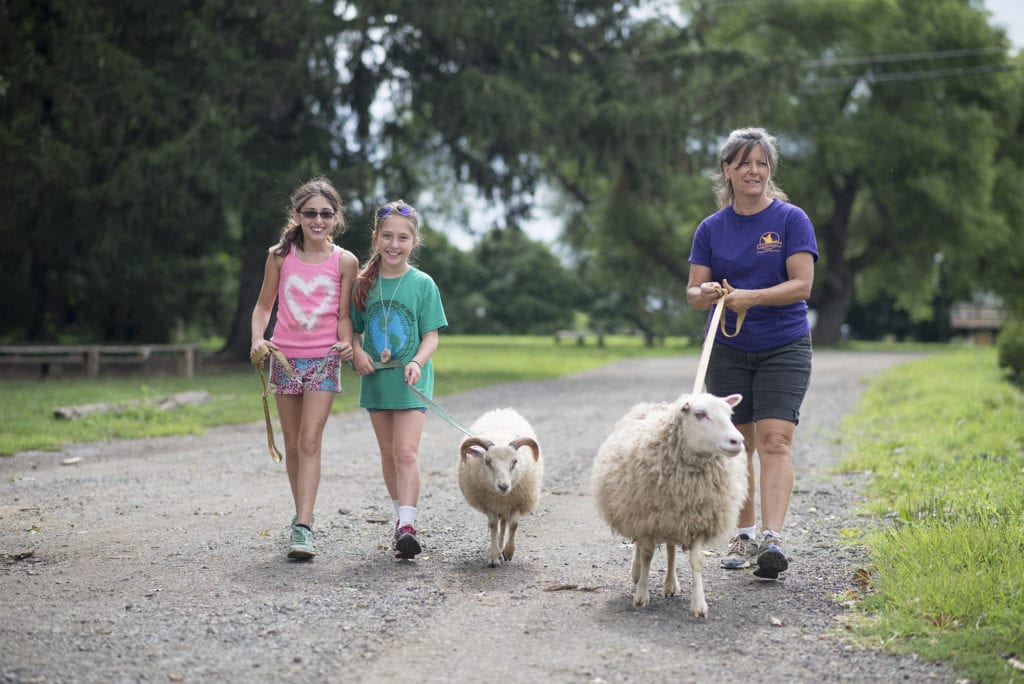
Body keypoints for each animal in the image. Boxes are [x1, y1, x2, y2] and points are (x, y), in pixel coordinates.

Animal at [458, 409, 544, 569]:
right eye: (487, 462)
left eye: (515, 462)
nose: (503, 486)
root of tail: (502, 410)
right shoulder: (489, 505)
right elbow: (493, 526)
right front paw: (493, 556)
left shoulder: (517, 503)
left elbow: (514, 525)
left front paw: (509, 552)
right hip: (500, 507)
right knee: (500, 525)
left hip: (506, 507)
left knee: (504, 525)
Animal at [589, 389, 749, 618]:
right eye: (700, 414)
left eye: (730, 414)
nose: (737, 441)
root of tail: (653, 405)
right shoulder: (645, 519)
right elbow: (647, 554)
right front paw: (641, 594)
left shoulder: (699, 519)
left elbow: (696, 561)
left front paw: (699, 604)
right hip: (641, 512)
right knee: (639, 546)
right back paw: (637, 572)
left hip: (673, 519)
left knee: (671, 551)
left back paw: (671, 583)